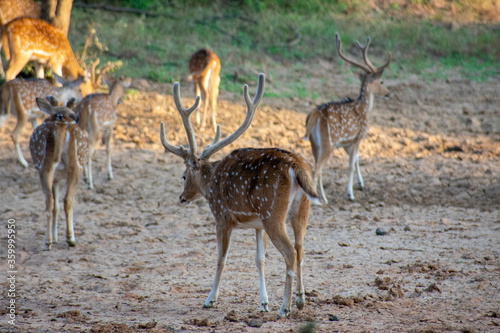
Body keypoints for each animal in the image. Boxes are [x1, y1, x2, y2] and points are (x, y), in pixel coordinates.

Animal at [29, 96, 90, 249]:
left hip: (45, 166)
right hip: (77, 164)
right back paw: (68, 239)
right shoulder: (57, 178)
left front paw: (56, 238)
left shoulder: (55, 178)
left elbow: (55, 205)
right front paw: (57, 237)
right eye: (77, 116)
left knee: (51, 201)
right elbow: (58, 205)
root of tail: (61, 125)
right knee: (66, 200)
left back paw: (50, 241)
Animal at [162, 73, 322, 316]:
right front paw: (263, 303)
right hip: (300, 209)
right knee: (300, 249)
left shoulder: (222, 217)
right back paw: (300, 300)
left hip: (272, 212)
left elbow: (221, 258)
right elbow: (259, 259)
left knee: (290, 253)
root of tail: (297, 166)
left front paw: (210, 299)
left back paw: (285, 308)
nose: (182, 198)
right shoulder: (258, 225)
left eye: (183, 176)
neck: (211, 181)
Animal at [304, 32, 390, 201]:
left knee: (316, 166)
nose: (388, 93)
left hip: (314, 143)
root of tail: (316, 113)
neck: (364, 107)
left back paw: (324, 198)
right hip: (328, 142)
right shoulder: (358, 136)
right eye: (381, 81)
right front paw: (350, 194)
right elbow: (350, 165)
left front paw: (360, 184)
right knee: (317, 169)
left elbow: (356, 160)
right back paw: (319, 200)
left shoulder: (347, 143)